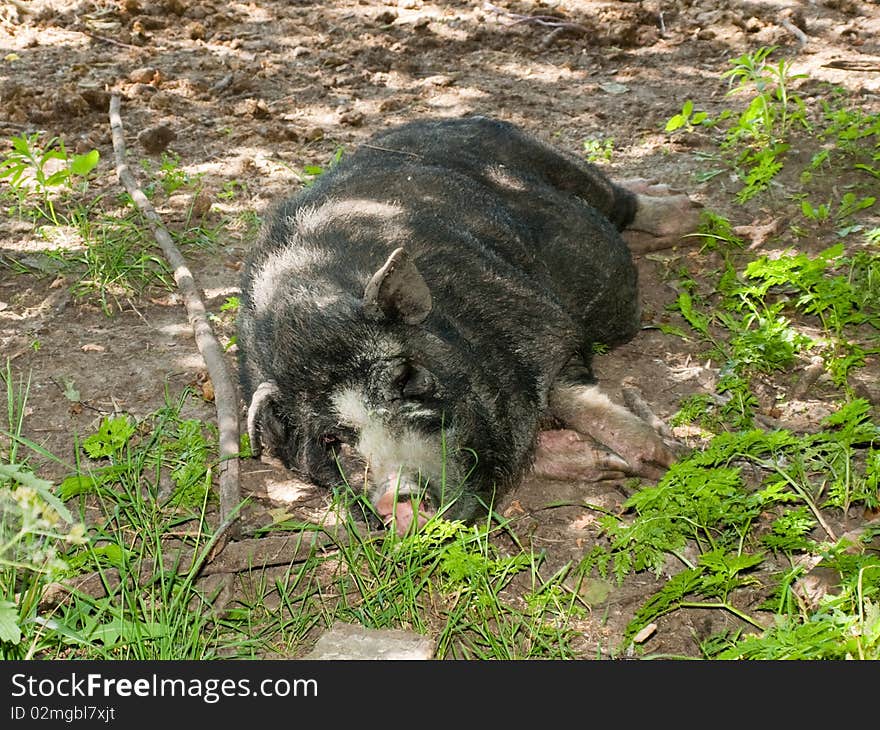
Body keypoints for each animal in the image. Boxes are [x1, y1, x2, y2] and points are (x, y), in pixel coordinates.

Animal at [237, 116, 696, 532]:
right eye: (330, 441)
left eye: (406, 378)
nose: (396, 497)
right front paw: (611, 464)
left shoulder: (545, 328)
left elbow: (578, 402)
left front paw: (671, 460)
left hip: (563, 179)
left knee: (619, 200)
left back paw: (689, 209)